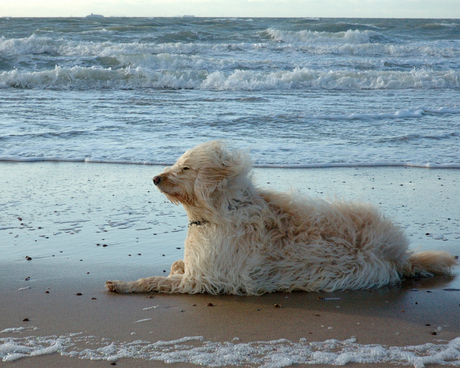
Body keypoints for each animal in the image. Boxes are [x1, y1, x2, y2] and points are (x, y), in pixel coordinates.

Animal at [107, 139, 456, 294]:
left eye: (185, 167)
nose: (155, 178)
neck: (220, 212)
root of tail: (399, 257)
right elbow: (175, 266)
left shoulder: (203, 279)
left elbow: (157, 279)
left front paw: (124, 284)